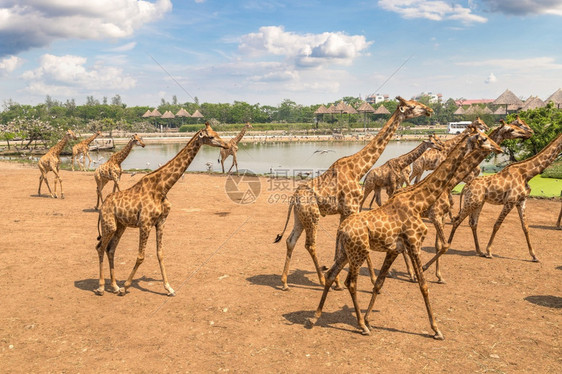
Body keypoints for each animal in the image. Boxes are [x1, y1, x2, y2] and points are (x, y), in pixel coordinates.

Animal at [95, 124, 226, 296]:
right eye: (210, 137)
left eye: (217, 133)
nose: (226, 145)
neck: (162, 188)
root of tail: (103, 206)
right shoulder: (145, 223)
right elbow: (141, 256)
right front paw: (126, 287)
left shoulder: (161, 221)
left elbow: (160, 254)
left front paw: (169, 288)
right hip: (109, 224)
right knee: (100, 248)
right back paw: (102, 287)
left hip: (120, 226)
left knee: (110, 249)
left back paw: (115, 286)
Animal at [274, 95, 430, 290]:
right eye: (412, 106)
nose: (429, 110)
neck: (358, 170)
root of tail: (293, 198)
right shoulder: (351, 208)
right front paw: (370, 279)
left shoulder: (344, 211)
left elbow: (339, 242)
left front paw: (337, 281)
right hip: (312, 215)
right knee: (310, 244)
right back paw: (320, 279)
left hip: (300, 216)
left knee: (290, 240)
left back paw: (284, 282)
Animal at [304, 129, 496, 338]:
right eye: (483, 138)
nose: (496, 148)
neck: (419, 201)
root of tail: (341, 229)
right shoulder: (414, 243)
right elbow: (423, 285)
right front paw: (436, 329)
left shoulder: (394, 249)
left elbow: (379, 283)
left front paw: (369, 318)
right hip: (358, 252)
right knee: (351, 283)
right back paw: (361, 326)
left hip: (346, 252)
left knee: (331, 274)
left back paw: (315, 317)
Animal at [418, 117, 532, 280]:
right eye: (513, 128)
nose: (529, 133)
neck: (449, 184)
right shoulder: (435, 214)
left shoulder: (440, 216)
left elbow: (438, 244)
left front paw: (438, 275)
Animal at [446, 133, 560, 262]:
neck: (527, 174)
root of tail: (466, 186)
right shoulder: (510, 201)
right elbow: (497, 225)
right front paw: (489, 251)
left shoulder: (521, 201)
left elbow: (525, 227)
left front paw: (534, 256)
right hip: (471, 202)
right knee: (457, 220)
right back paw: (446, 246)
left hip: (478, 203)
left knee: (473, 223)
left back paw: (479, 251)